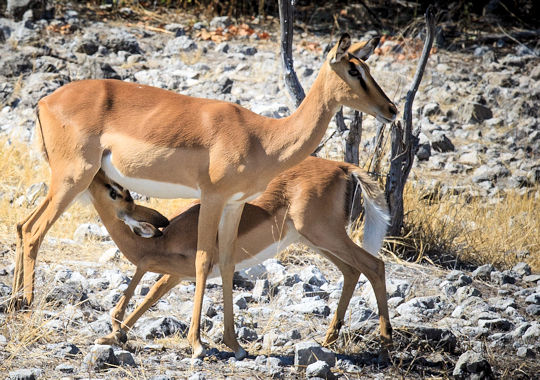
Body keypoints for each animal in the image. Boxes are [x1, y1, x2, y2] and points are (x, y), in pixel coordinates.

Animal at [87, 157, 392, 350]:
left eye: (117, 191)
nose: (94, 174)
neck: (163, 240)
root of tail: (341, 166)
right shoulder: (176, 275)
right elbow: (152, 293)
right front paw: (113, 337)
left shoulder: (180, 264)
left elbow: (145, 269)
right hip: (315, 240)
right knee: (352, 271)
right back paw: (329, 339)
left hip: (323, 234)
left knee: (375, 265)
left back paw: (385, 342)